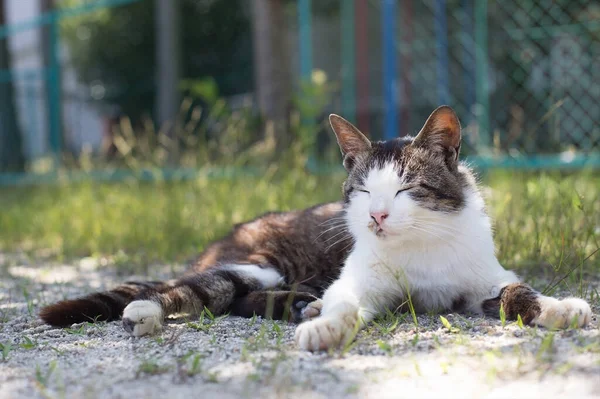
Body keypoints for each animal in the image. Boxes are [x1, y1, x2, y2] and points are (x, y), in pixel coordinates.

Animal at [39, 104, 592, 352]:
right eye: (364, 190)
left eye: (406, 189)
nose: (376, 216)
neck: (421, 244)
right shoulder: (360, 280)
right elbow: (347, 301)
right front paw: (327, 326)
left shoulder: (483, 279)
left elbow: (518, 290)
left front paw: (559, 308)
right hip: (256, 263)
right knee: (199, 290)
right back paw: (147, 312)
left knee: (237, 300)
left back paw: (301, 304)